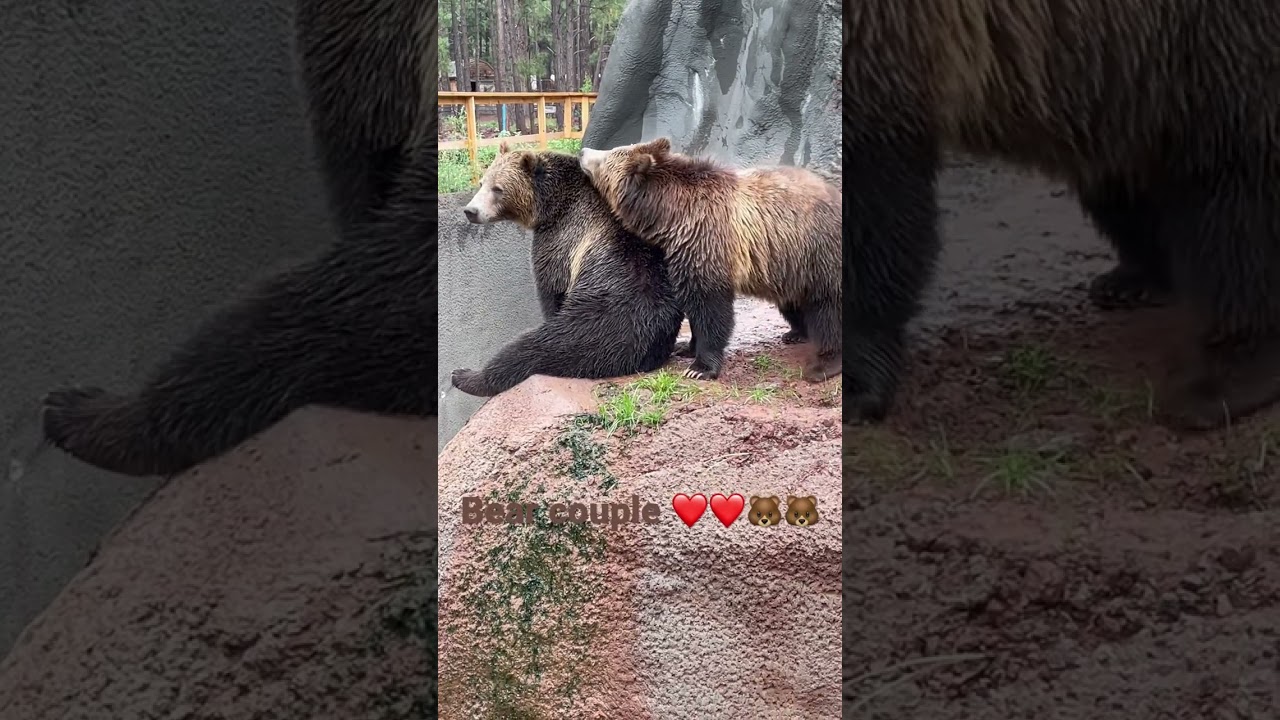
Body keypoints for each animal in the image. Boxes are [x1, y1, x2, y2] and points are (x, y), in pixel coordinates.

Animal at [452, 144, 683, 396]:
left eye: (498, 188)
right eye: (482, 182)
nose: (471, 210)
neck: (552, 203)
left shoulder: (561, 237)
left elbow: (550, 285)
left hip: (596, 316)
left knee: (531, 347)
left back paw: (466, 376)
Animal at [579, 138, 842, 384]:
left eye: (609, 153)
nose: (583, 151)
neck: (670, 216)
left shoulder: (707, 243)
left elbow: (711, 309)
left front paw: (700, 367)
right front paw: (686, 346)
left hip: (819, 255)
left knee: (828, 311)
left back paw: (822, 365)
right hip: (789, 266)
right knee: (794, 302)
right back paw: (796, 333)